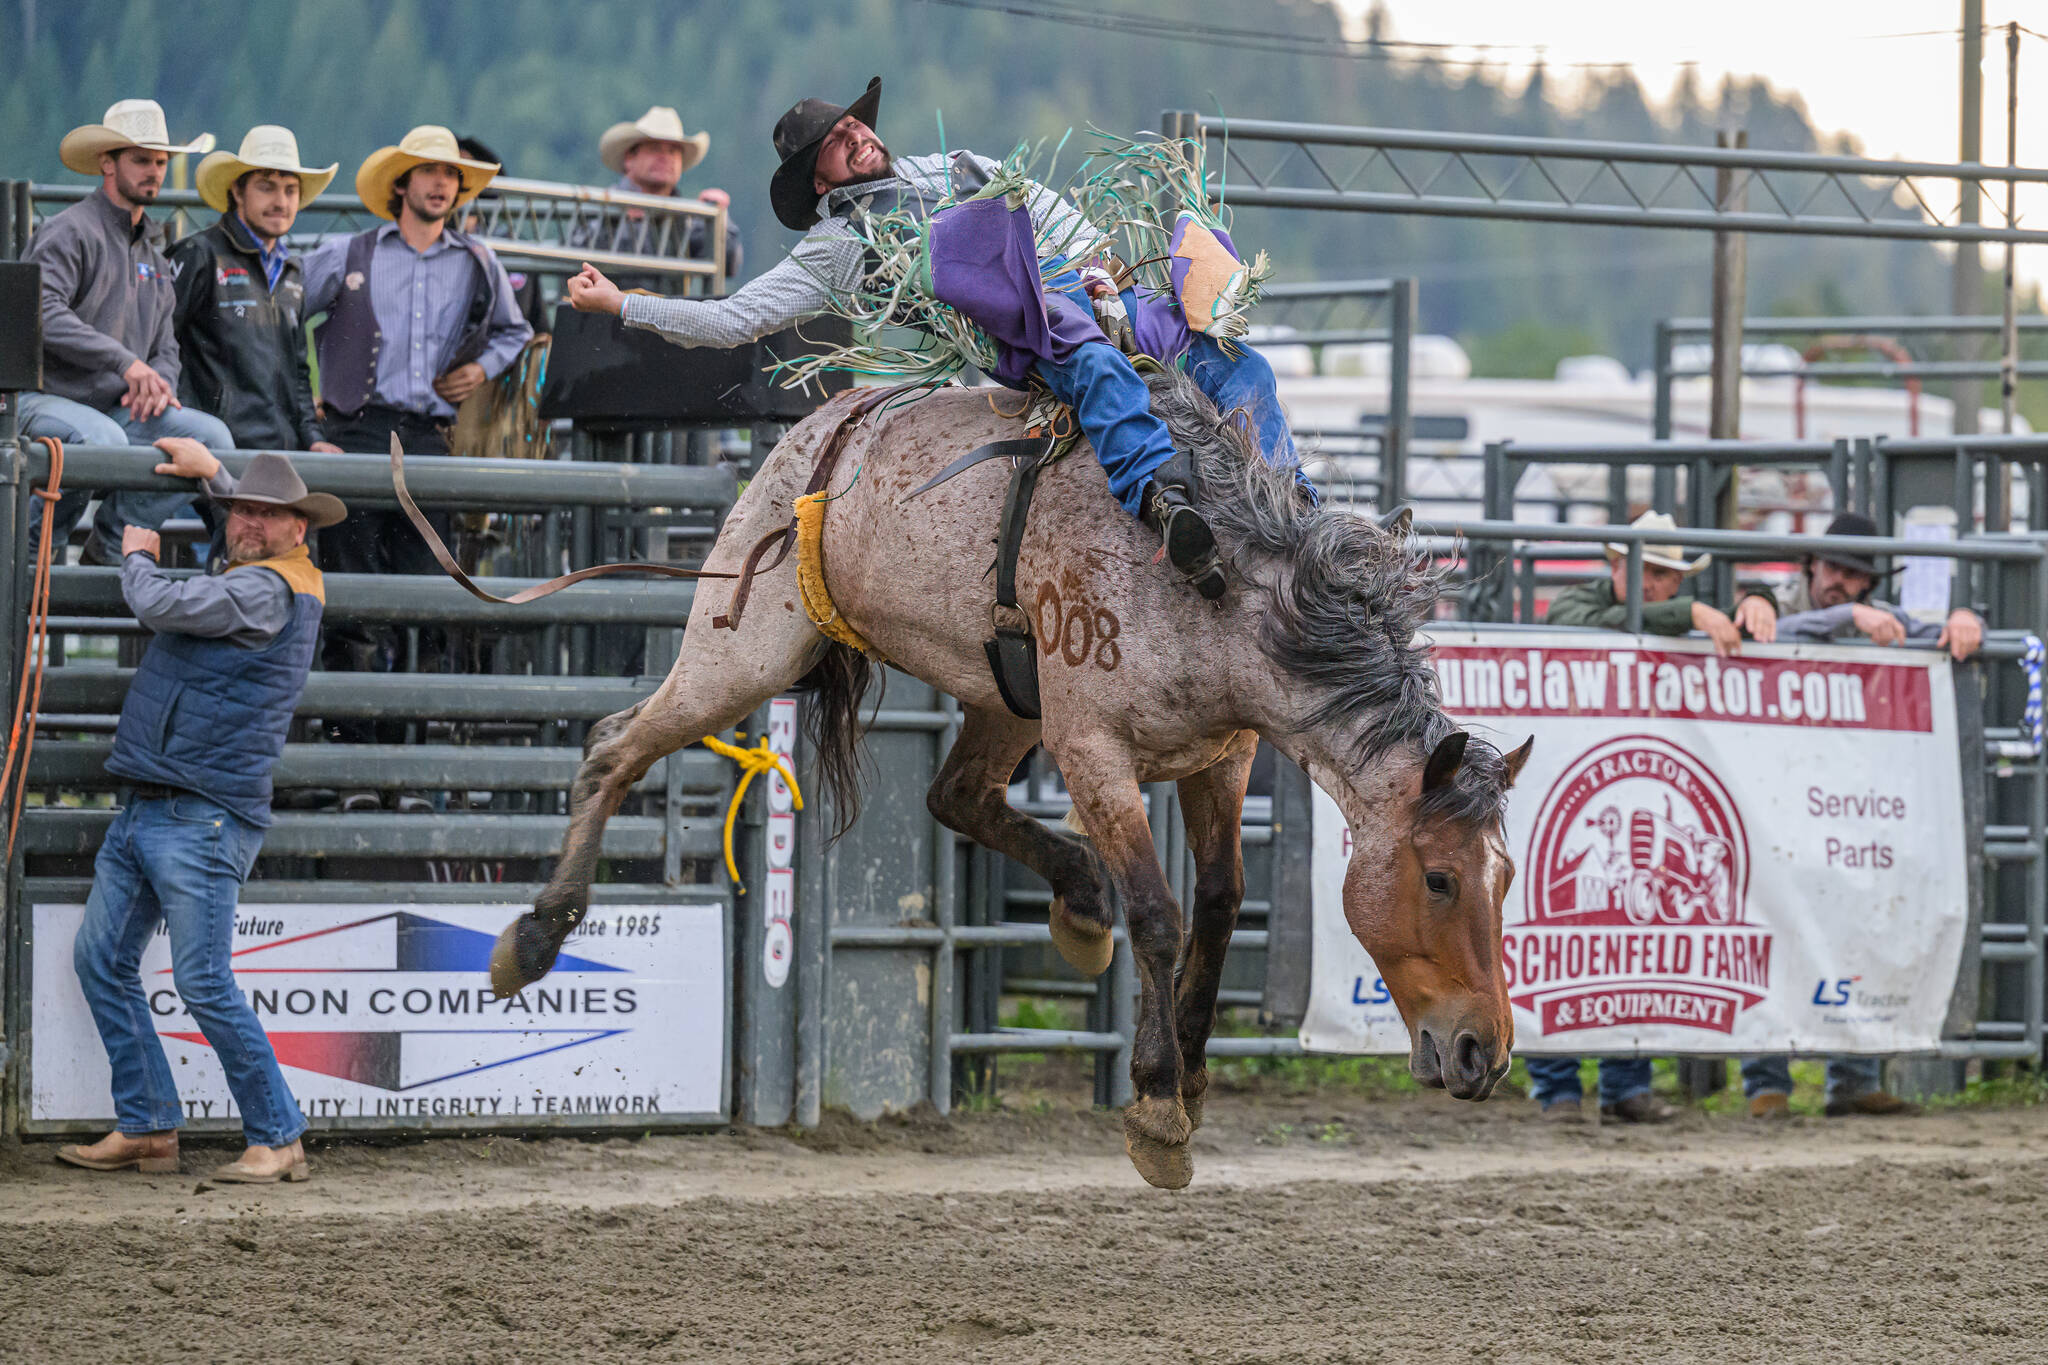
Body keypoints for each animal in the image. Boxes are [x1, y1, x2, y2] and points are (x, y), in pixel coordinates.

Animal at [487, 368, 1531, 1186]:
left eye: (1506, 876)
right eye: (1440, 877)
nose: (1484, 1051)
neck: (1218, 588)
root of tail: (828, 423)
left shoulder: (1222, 753)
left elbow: (1224, 900)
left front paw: (1191, 1067)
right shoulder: (1093, 746)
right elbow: (1161, 912)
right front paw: (1159, 1106)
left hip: (1001, 696)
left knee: (954, 795)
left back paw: (1077, 905)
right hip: (744, 649)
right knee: (614, 746)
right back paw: (533, 940)